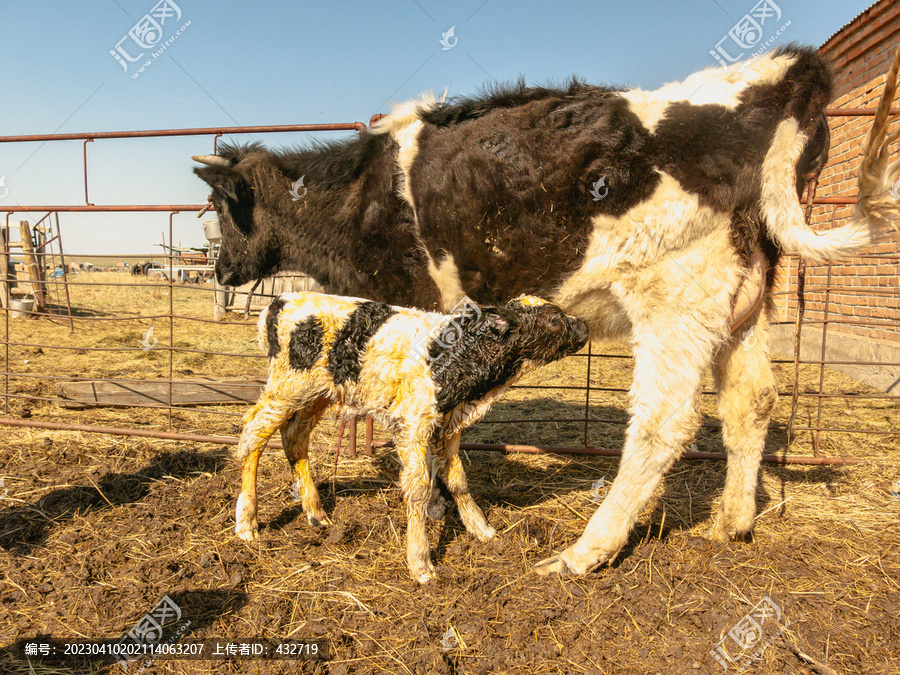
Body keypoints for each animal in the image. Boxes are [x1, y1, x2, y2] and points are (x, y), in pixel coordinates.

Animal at [232, 294, 592, 584]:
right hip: (286, 388)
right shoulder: (413, 423)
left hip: (318, 394)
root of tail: (281, 300)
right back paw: (247, 521)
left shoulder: (449, 425)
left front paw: (481, 529)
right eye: (555, 318)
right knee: (253, 435)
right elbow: (418, 487)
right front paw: (420, 562)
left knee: (294, 437)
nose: (584, 325)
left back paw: (316, 513)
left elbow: (457, 479)